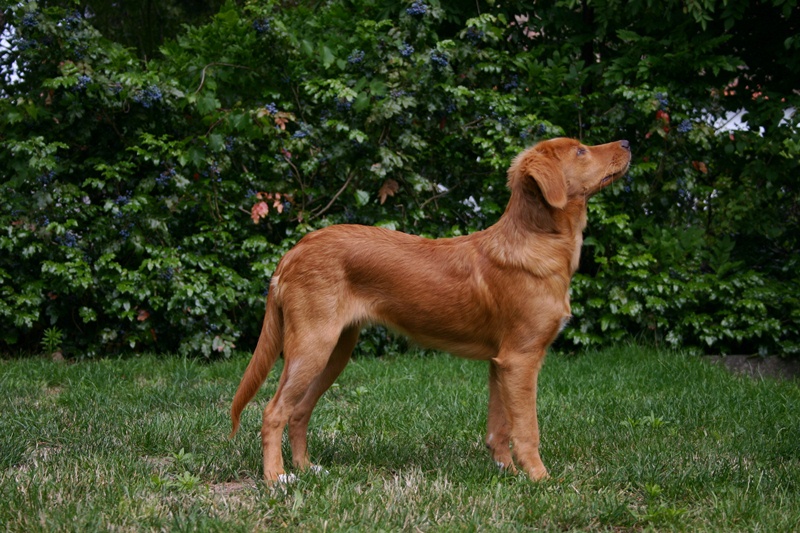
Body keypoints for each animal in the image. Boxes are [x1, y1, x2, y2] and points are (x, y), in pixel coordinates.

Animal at [230, 137, 632, 482]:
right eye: (580, 150)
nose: (627, 142)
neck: (536, 239)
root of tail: (292, 253)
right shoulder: (522, 358)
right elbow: (527, 429)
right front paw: (540, 479)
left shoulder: (501, 362)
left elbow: (499, 429)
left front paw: (507, 472)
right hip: (312, 345)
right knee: (273, 411)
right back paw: (276, 477)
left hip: (335, 351)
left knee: (299, 411)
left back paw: (306, 467)